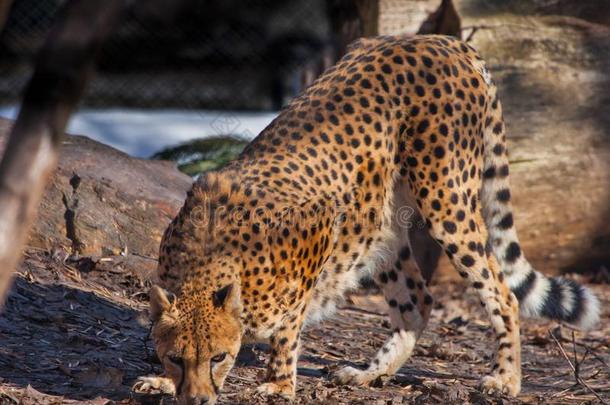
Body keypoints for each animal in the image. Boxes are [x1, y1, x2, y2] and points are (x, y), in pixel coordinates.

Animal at [135, 35, 596, 404]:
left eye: (219, 357)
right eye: (176, 358)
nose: (196, 399)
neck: (208, 263)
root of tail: (442, 40)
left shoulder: (319, 227)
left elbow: (289, 328)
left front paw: (279, 383)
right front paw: (162, 381)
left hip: (447, 202)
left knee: (501, 292)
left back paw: (505, 379)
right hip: (382, 229)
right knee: (418, 302)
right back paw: (370, 374)